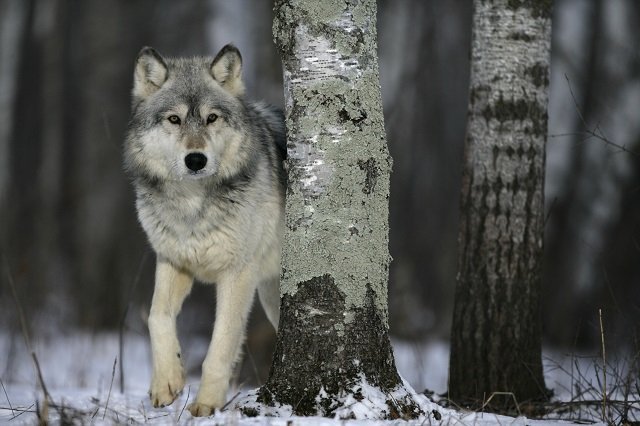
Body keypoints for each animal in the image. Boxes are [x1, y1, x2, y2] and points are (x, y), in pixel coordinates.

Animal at [124, 45, 284, 418]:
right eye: (174, 119)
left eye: (212, 118)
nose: (195, 160)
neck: (192, 206)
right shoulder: (172, 261)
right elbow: (156, 317)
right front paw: (166, 383)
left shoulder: (237, 274)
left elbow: (220, 345)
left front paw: (207, 404)